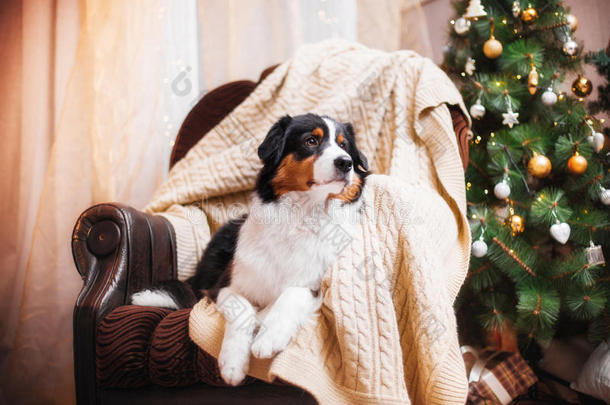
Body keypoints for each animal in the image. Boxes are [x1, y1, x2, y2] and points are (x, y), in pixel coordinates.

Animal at [133, 113, 368, 386]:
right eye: (311, 140)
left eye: (343, 145)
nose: (346, 163)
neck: (302, 215)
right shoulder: (224, 287)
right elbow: (241, 308)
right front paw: (233, 364)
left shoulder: (316, 284)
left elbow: (291, 294)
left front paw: (269, 337)